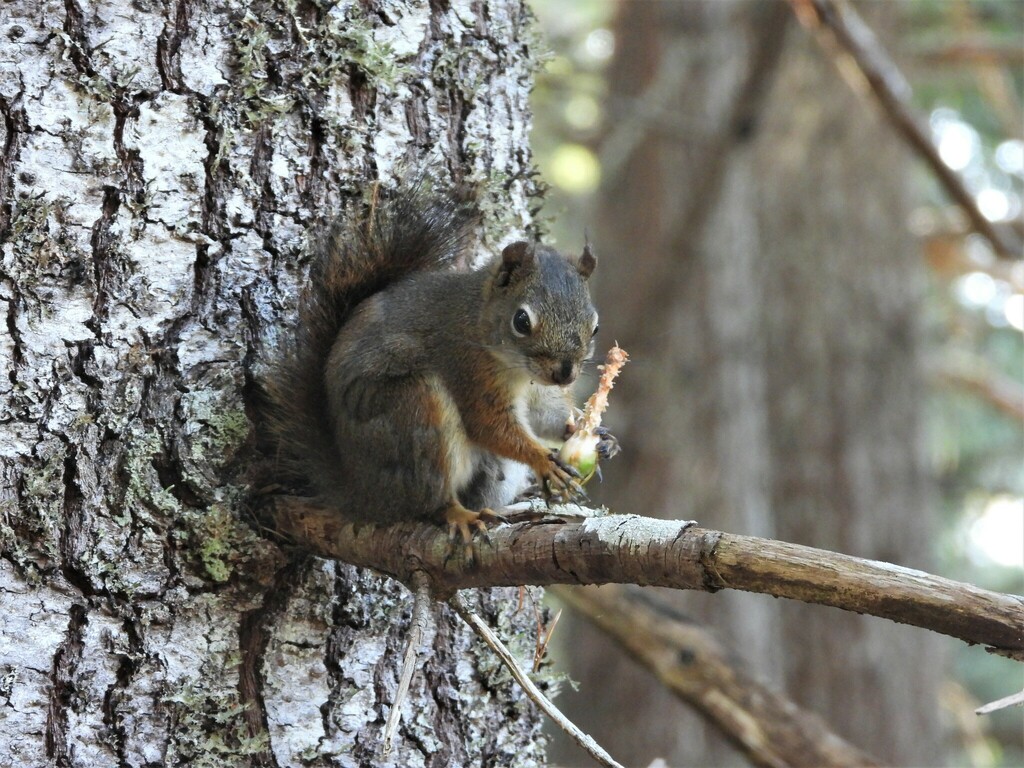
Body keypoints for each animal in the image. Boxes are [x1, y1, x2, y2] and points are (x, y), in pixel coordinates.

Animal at [260, 182, 605, 542]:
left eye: (595, 326)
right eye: (521, 321)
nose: (565, 374)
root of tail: (362, 493)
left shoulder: (538, 390)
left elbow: (544, 415)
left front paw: (588, 432)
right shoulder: (466, 367)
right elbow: (488, 424)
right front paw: (544, 460)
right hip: (414, 412)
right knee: (428, 500)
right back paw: (459, 514)